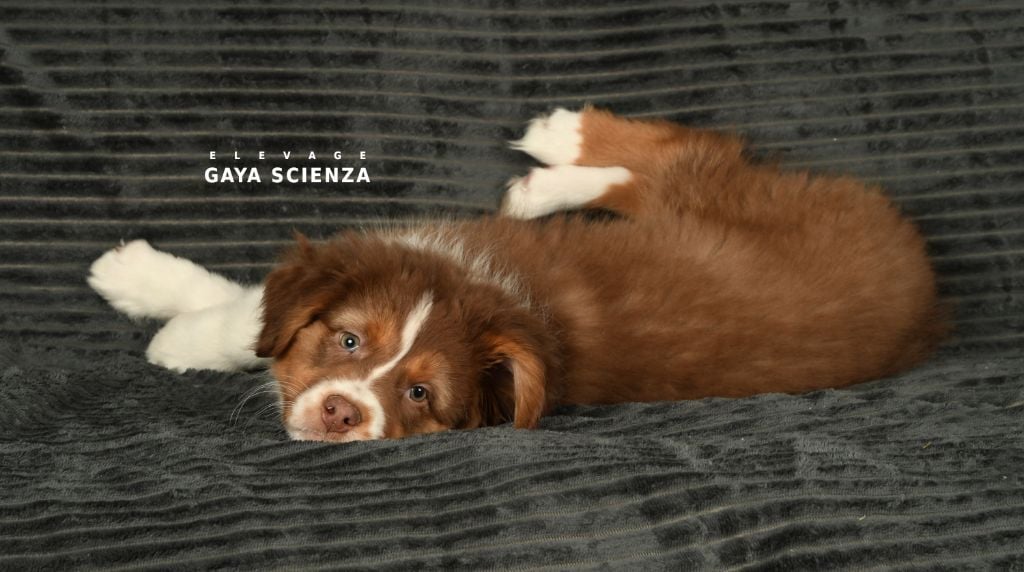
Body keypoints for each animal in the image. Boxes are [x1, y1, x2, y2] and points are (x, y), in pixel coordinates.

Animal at [88, 107, 947, 442]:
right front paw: (147, 290)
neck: (487, 296)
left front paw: (160, 315)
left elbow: (247, 313)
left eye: (419, 394)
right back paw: (546, 172)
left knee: (682, 154)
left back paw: (556, 147)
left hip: (719, 197)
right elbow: (257, 309)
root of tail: (926, 277)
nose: (341, 413)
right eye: (349, 341)